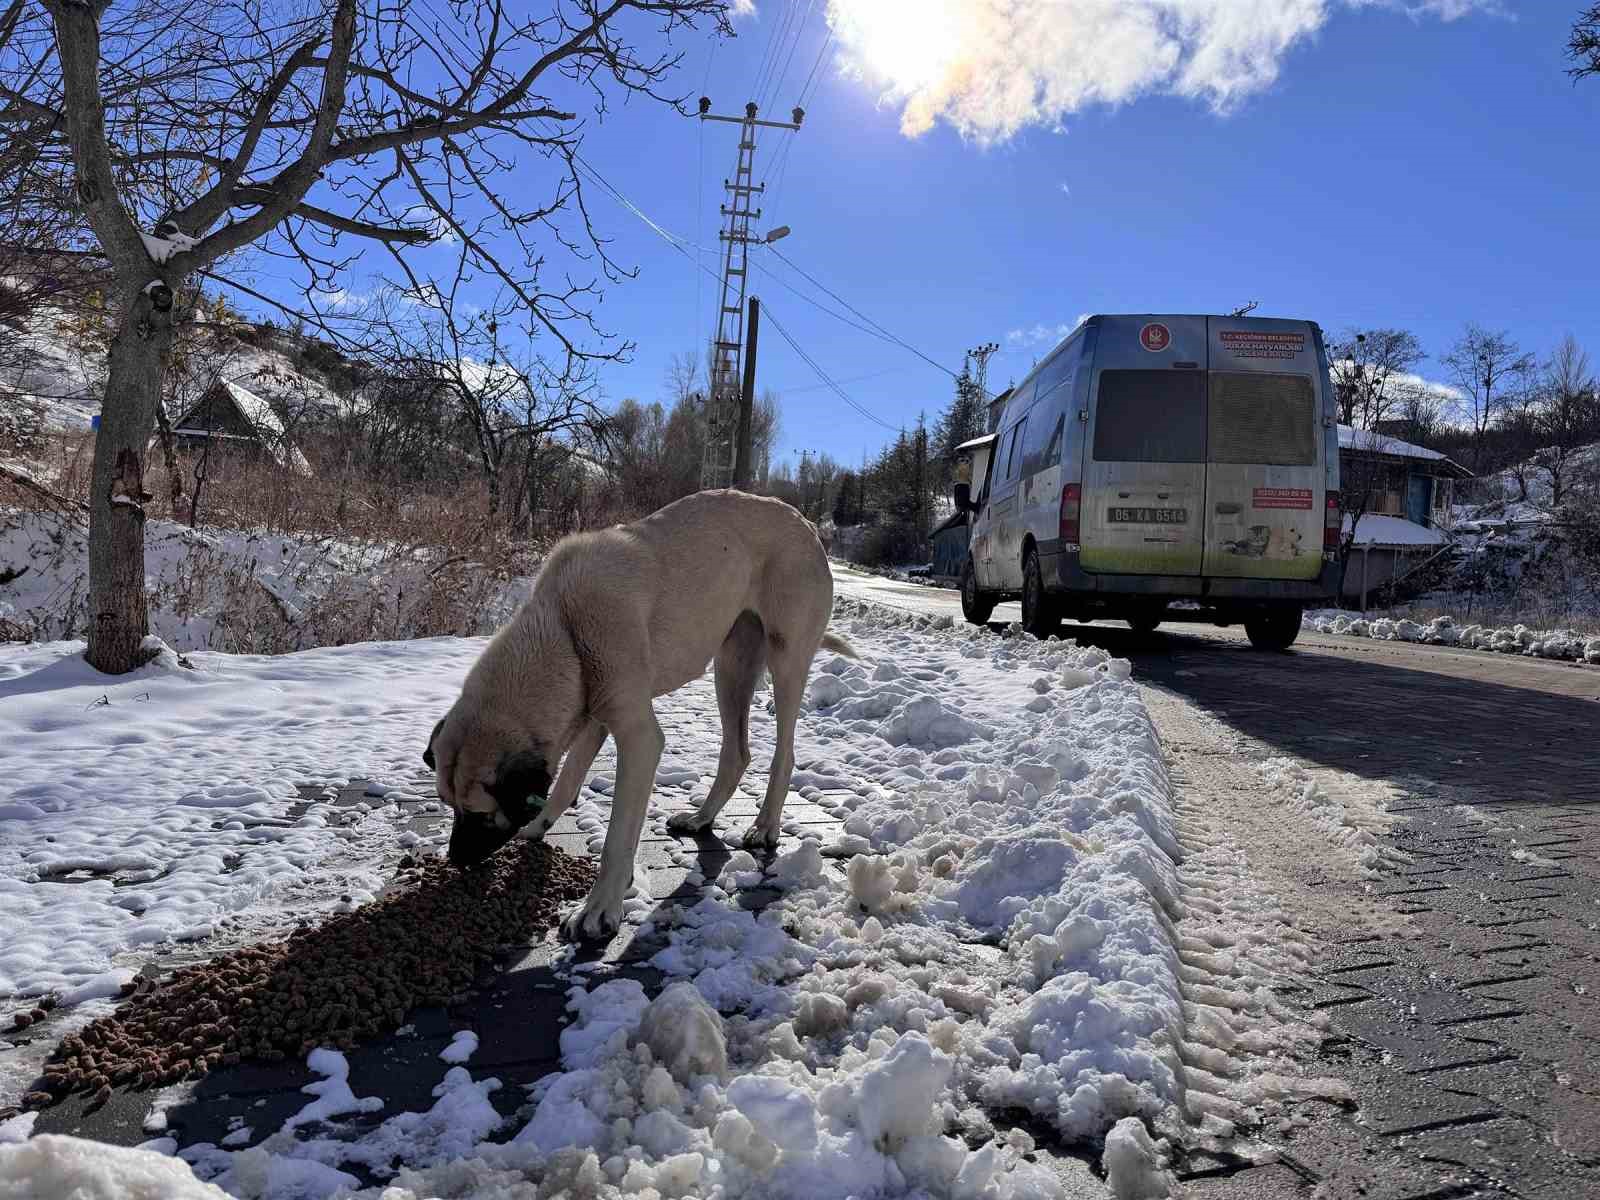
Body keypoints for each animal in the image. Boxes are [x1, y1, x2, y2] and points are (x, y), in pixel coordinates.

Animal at [422, 489, 851, 940]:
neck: (563, 626)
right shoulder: (593, 714)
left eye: (481, 815)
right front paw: (538, 825)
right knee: (737, 753)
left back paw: (766, 825)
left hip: (785, 660)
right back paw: (701, 818)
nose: (455, 860)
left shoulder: (638, 737)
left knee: (784, 753)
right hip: (730, 666)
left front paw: (598, 908)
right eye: (447, 804)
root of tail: (805, 523)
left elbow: (617, 838)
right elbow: (565, 781)